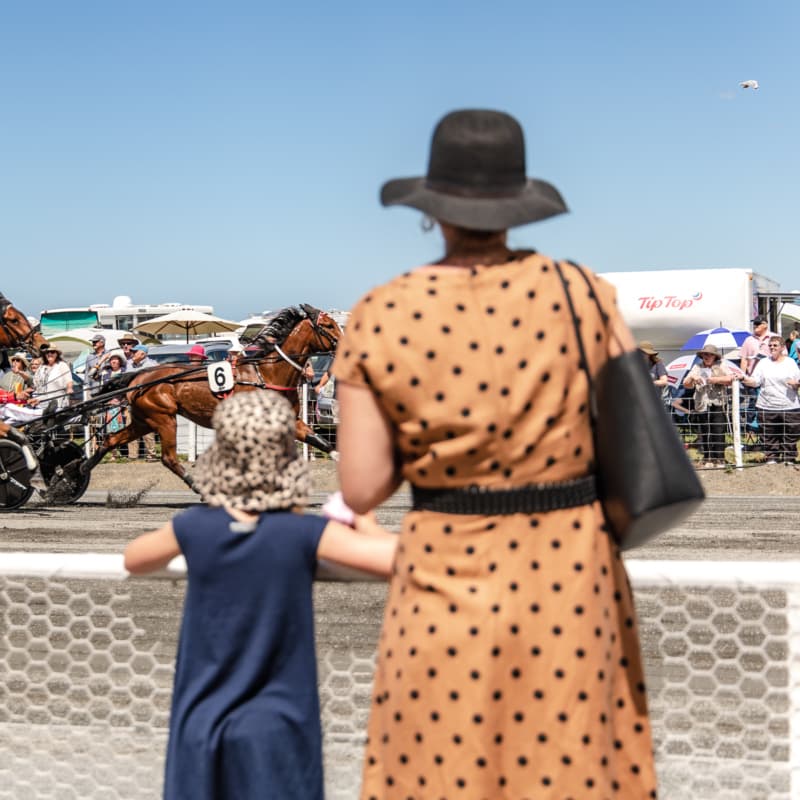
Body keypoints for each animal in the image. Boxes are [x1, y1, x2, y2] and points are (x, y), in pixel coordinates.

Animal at [83, 302, 342, 484]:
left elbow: (320, 441)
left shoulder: (291, 422)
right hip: (164, 418)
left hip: (143, 420)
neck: (266, 374)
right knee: (169, 458)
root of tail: (138, 377)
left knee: (111, 439)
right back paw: (196, 485)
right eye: (329, 326)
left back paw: (79, 470)